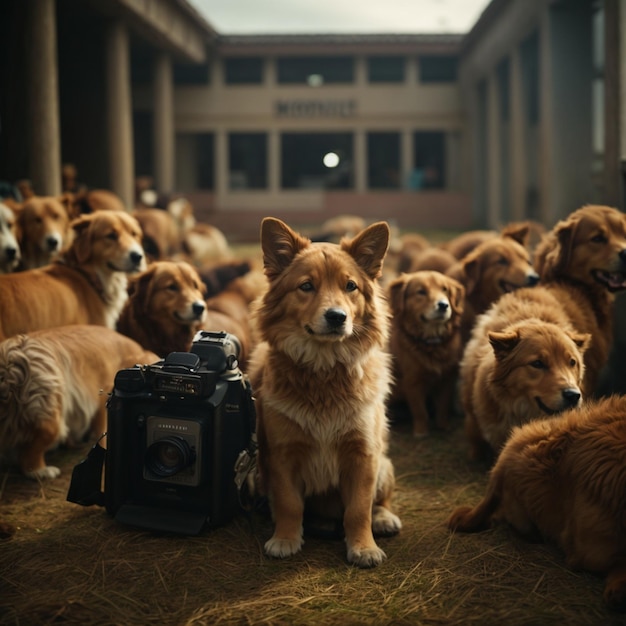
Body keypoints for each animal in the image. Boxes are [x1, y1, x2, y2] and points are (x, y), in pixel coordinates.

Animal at [247, 217, 400, 568]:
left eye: (350, 286)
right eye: (306, 286)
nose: (337, 317)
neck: (324, 369)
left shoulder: (364, 456)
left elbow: (359, 510)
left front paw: (363, 547)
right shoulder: (282, 455)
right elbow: (289, 504)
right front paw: (286, 538)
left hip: (384, 465)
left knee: (380, 501)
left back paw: (384, 518)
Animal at [386, 270, 464, 436]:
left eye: (445, 290)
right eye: (421, 292)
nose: (443, 305)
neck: (431, 342)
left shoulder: (447, 378)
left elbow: (443, 406)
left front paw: (443, 426)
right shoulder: (412, 381)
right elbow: (420, 411)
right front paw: (421, 432)